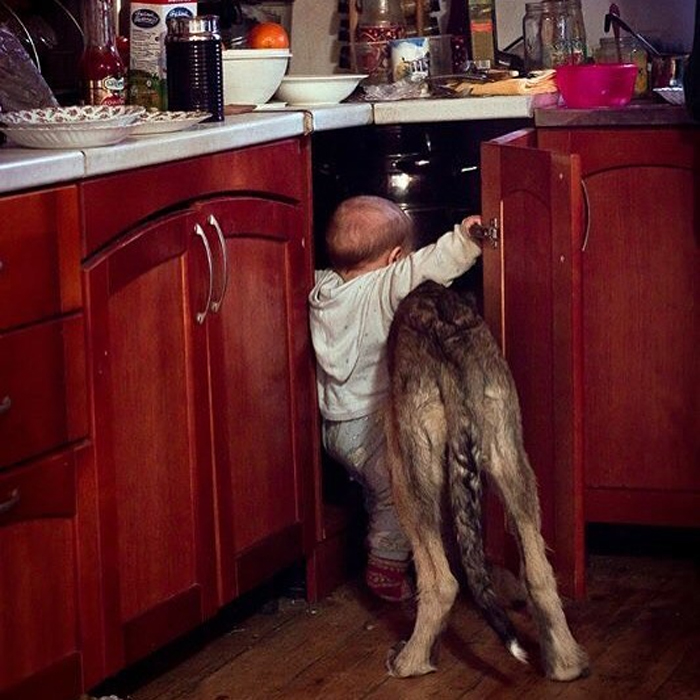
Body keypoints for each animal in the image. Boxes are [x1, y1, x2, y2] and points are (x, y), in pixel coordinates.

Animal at [386, 282, 588, 680]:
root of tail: (445, 333)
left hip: (409, 471)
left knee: (441, 581)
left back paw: (411, 661)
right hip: (511, 459)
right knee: (539, 573)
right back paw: (566, 664)